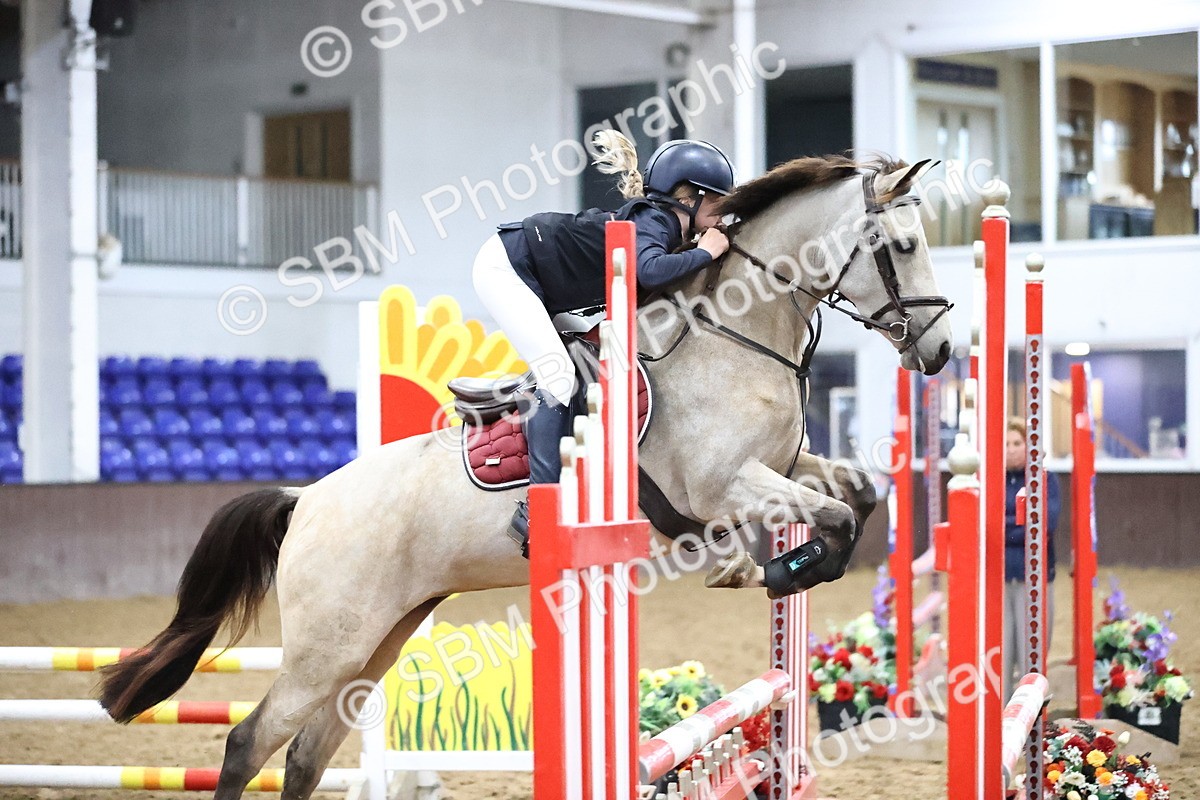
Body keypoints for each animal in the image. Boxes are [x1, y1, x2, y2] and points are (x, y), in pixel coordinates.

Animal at [98, 154, 954, 800]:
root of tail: (305, 499)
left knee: (305, 755)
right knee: (249, 744)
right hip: (326, 647)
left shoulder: (781, 465)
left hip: (375, 644)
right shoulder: (717, 485)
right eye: (905, 242)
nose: (943, 350)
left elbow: (857, 495)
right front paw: (776, 569)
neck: (738, 332)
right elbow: (833, 519)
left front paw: (770, 564)